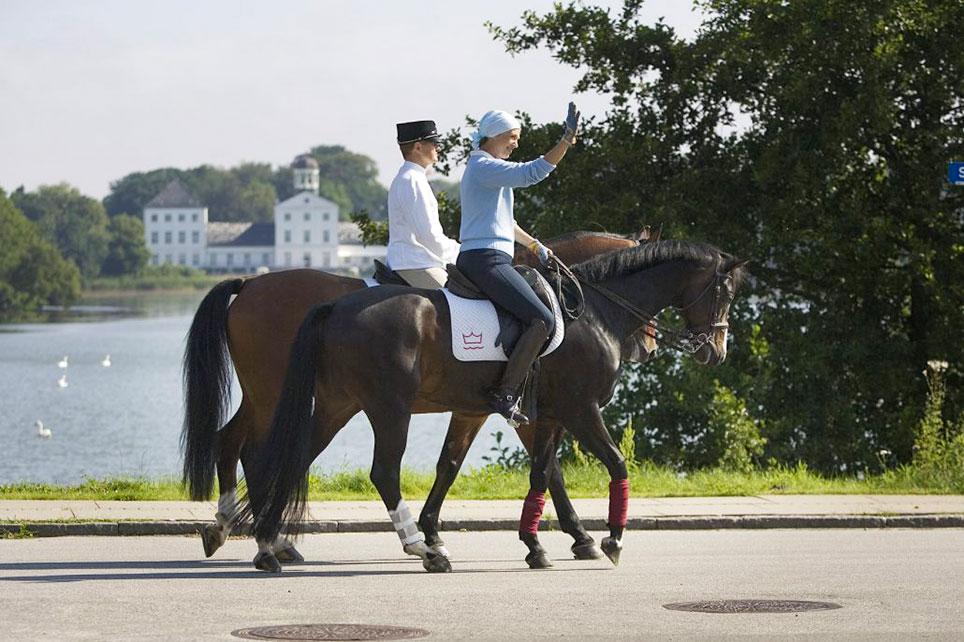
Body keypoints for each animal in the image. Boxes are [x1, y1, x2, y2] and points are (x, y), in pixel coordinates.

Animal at [179, 229, 656, 564]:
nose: (648, 348)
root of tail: (250, 284)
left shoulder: (477, 409)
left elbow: (452, 464)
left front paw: (434, 531)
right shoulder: (539, 410)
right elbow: (551, 470)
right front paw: (581, 537)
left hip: (282, 397)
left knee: (236, 442)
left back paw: (244, 531)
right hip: (276, 394)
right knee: (256, 451)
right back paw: (263, 535)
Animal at [247, 239, 744, 568]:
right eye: (724, 292)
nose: (716, 351)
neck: (594, 314)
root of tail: (338, 306)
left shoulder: (542, 414)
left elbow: (534, 471)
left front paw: (536, 543)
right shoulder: (581, 409)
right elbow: (615, 462)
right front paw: (611, 540)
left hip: (338, 404)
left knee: (293, 459)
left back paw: (269, 543)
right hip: (389, 408)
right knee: (383, 472)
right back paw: (419, 548)